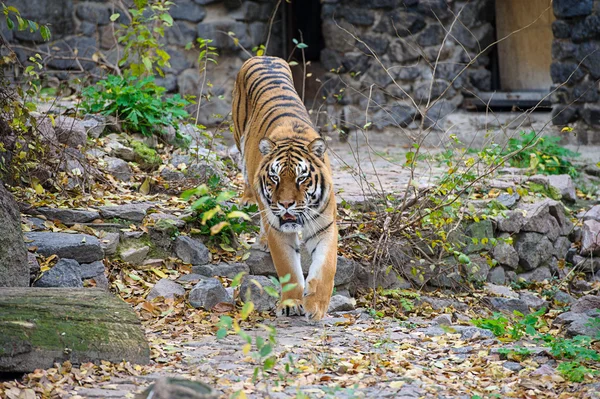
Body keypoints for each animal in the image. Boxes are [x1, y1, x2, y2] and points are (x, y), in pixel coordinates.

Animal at [232, 56, 338, 320]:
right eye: (274, 178)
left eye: (301, 178)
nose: (286, 204)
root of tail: (264, 57)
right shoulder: (278, 229)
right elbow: (287, 267)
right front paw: (291, 304)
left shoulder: (325, 226)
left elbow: (326, 268)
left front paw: (316, 306)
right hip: (239, 136)